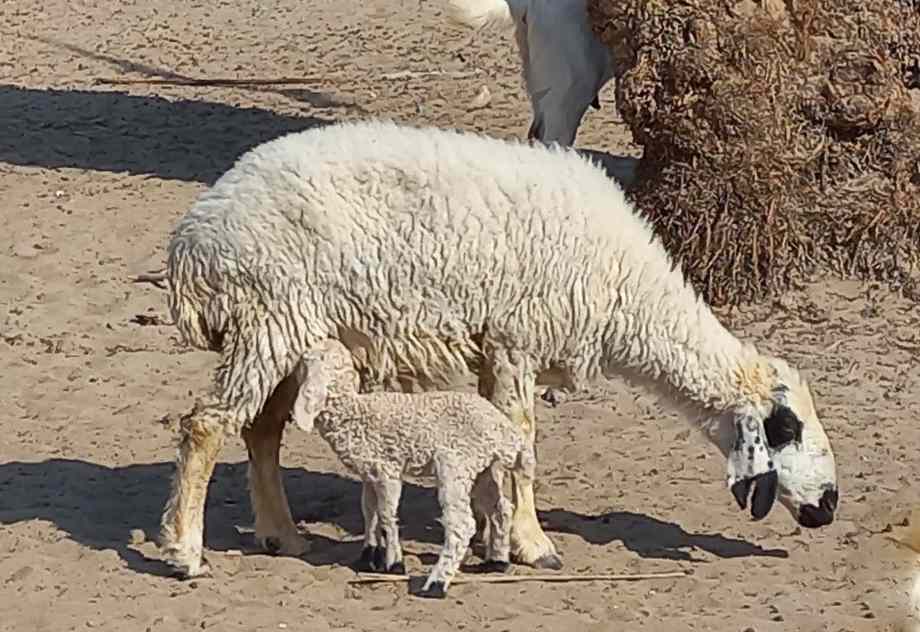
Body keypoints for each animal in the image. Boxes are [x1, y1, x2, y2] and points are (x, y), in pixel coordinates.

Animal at [292, 340, 528, 596]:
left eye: (306, 361)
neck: (354, 413)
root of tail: (505, 429)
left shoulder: (387, 471)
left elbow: (386, 515)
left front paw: (394, 564)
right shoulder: (370, 472)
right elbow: (369, 511)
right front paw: (368, 557)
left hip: (456, 464)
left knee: (462, 524)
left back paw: (436, 584)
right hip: (483, 468)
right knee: (501, 509)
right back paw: (497, 562)